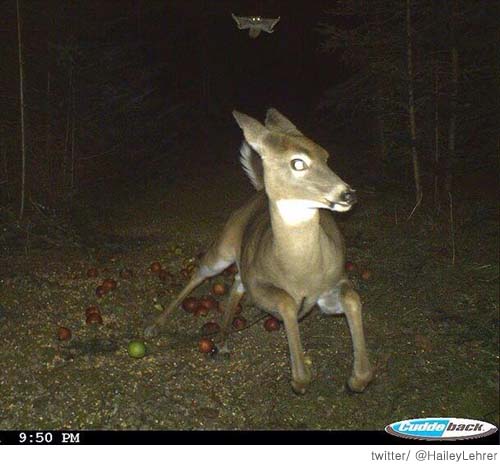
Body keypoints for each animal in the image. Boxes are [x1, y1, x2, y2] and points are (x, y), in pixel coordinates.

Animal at [143, 108, 374, 394]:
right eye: (297, 163)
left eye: (326, 156)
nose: (348, 194)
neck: (300, 272)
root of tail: (259, 191)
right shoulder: (260, 287)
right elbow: (286, 302)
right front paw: (299, 379)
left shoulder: (333, 282)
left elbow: (352, 298)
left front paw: (357, 379)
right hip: (224, 246)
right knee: (200, 273)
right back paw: (154, 327)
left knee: (235, 281)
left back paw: (223, 340)